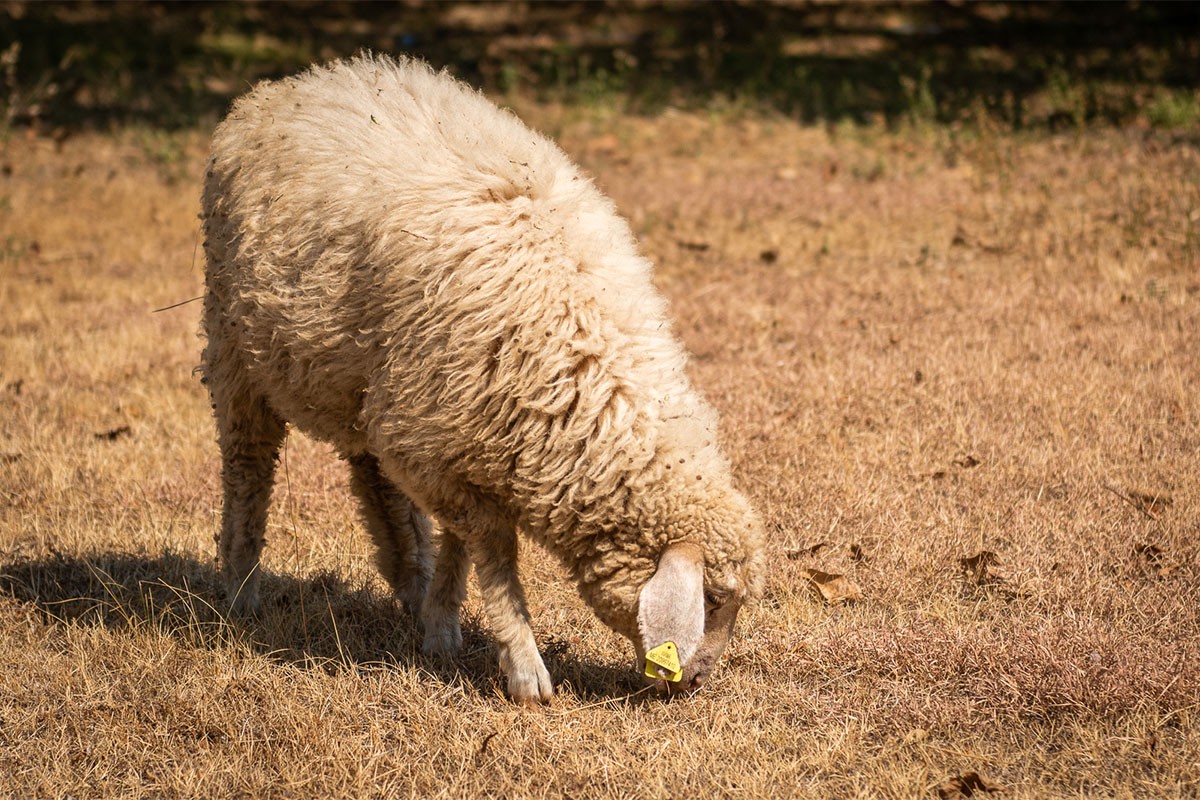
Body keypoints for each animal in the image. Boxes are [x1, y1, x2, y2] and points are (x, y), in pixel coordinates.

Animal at [200, 56, 763, 705]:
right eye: (713, 599)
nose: (694, 681)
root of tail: (299, 82)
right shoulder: (429, 441)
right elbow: (494, 546)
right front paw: (524, 669)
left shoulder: (454, 440)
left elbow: (457, 539)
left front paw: (441, 622)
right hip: (234, 346)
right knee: (248, 468)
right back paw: (243, 591)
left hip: (358, 378)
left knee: (372, 475)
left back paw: (410, 585)